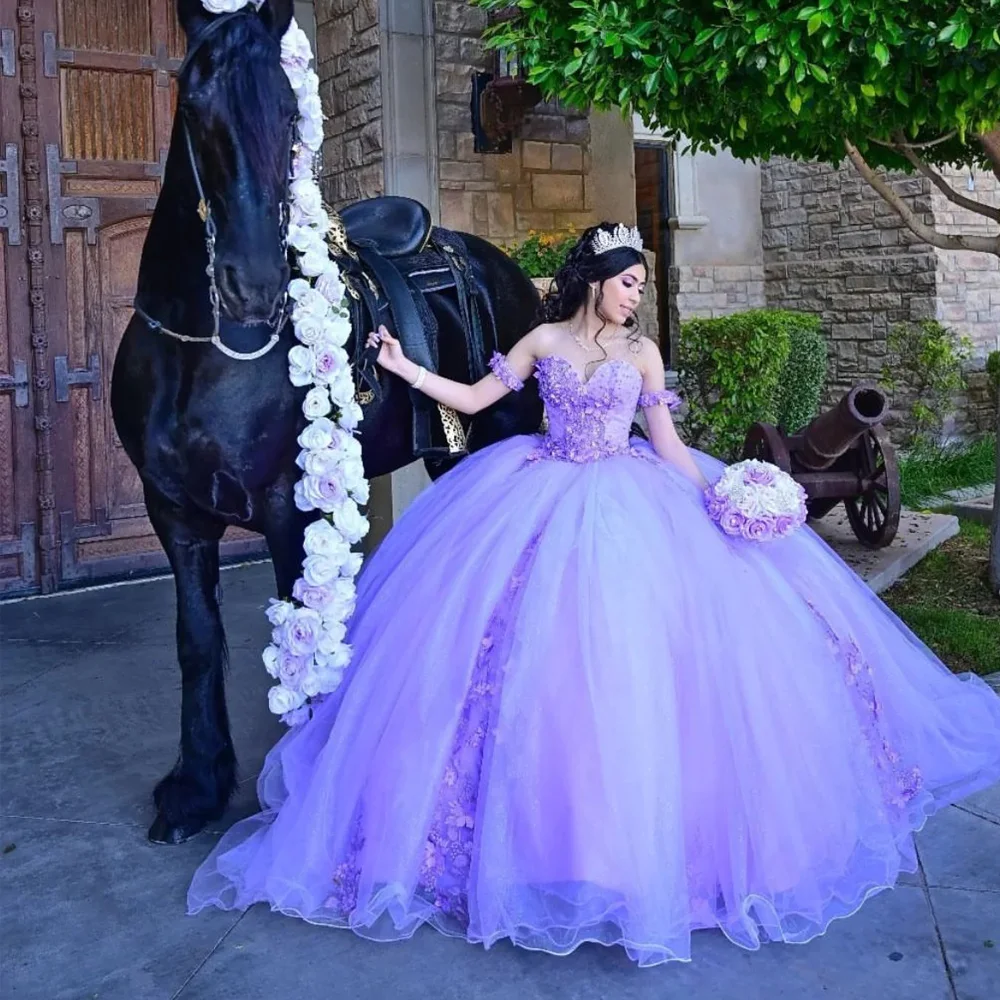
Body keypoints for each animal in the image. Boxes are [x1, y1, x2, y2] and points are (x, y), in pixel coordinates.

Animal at [111, 0, 540, 844]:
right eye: (193, 102)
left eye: (290, 115)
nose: (252, 284)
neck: (197, 348)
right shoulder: (172, 513)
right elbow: (197, 640)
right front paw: (196, 785)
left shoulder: (290, 506)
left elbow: (303, 624)